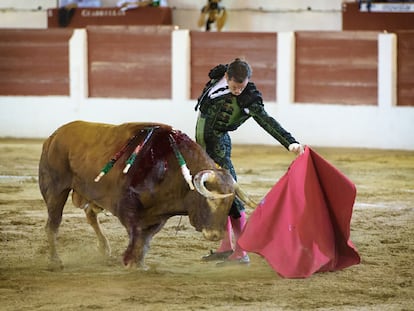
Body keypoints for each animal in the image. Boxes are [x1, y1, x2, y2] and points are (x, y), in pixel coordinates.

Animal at [38, 120, 254, 272]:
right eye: (209, 200)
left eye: (229, 204)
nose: (215, 235)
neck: (169, 167)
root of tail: (53, 137)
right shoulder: (127, 208)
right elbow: (136, 235)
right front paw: (129, 261)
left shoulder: (158, 216)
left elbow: (146, 239)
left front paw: (139, 263)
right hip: (56, 190)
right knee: (53, 225)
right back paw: (55, 261)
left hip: (90, 194)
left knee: (90, 214)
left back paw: (104, 248)